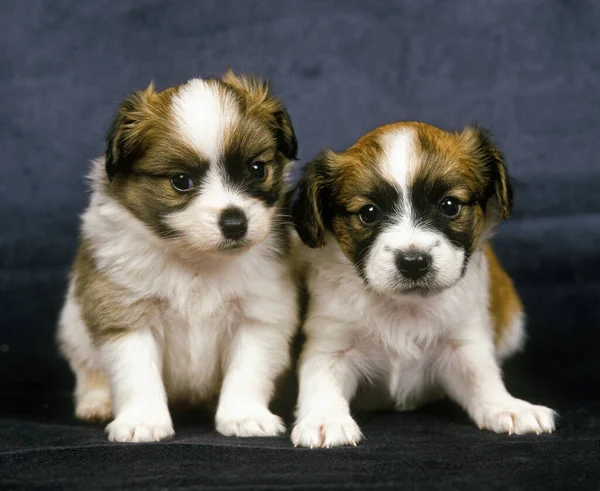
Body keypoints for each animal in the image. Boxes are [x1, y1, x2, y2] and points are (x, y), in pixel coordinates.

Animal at [58, 71, 300, 444]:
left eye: (258, 169)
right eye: (181, 181)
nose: (235, 223)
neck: (196, 258)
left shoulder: (258, 314)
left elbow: (248, 369)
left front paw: (244, 415)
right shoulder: (126, 312)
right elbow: (137, 373)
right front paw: (142, 421)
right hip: (73, 325)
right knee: (88, 369)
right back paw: (97, 401)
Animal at [288, 121, 556, 448]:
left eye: (450, 206)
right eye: (368, 213)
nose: (413, 262)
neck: (404, 307)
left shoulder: (463, 342)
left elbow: (482, 377)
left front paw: (509, 406)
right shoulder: (331, 342)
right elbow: (320, 378)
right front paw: (325, 420)